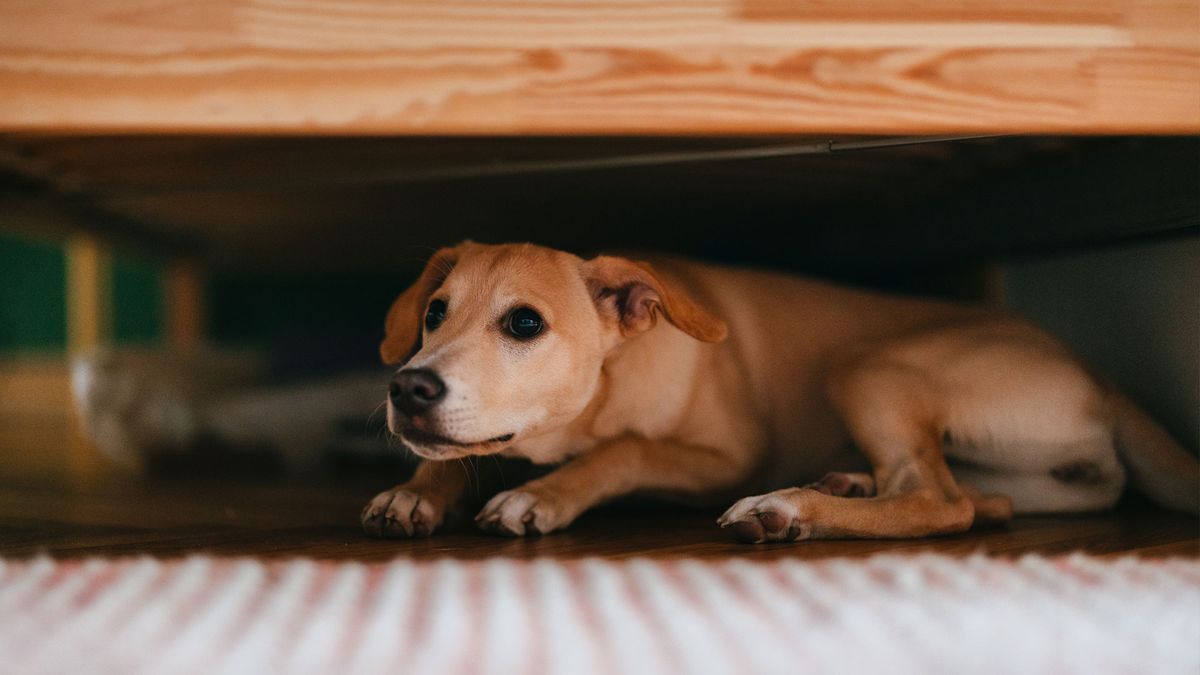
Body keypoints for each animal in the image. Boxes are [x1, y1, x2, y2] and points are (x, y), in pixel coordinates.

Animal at [360, 241, 1195, 540]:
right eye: (435, 312)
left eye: (525, 323)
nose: (408, 387)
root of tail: (1099, 378)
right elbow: (458, 454)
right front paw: (417, 491)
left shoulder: (725, 456)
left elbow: (625, 451)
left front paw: (543, 494)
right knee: (979, 497)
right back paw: (843, 482)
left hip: (868, 365)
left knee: (941, 501)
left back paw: (790, 508)